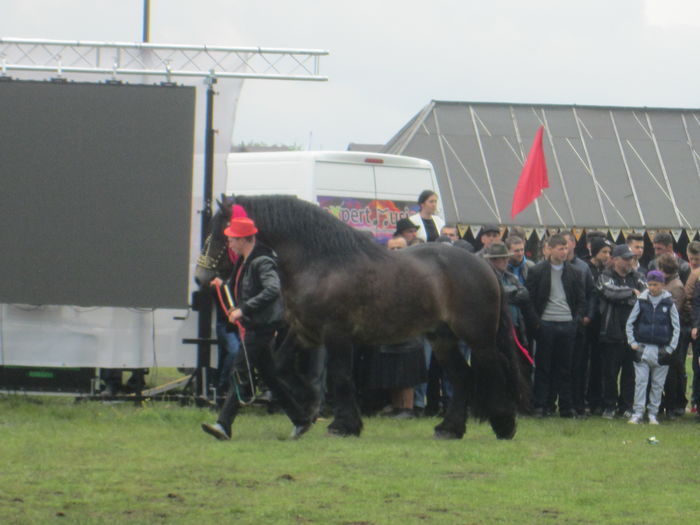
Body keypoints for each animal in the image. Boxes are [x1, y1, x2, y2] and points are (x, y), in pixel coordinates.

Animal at [197, 193, 524, 438]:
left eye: (219, 232)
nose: (203, 277)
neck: (321, 262)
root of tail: (485, 266)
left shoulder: (336, 334)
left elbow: (340, 377)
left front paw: (343, 425)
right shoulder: (304, 331)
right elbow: (280, 368)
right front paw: (306, 409)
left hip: (477, 336)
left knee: (492, 369)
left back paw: (504, 425)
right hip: (441, 337)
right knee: (461, 376)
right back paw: (449, 428)